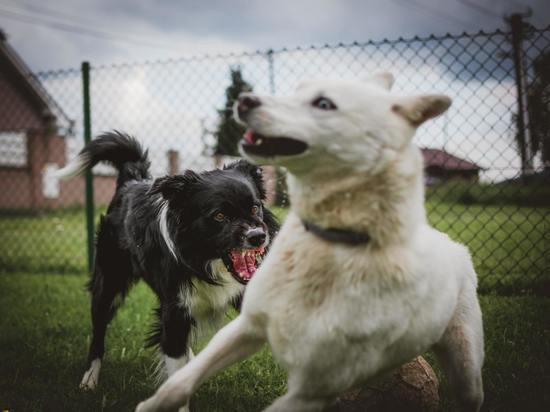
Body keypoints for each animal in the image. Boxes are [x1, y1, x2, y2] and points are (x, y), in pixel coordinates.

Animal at [58, 131, 278, 400]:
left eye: (255, 207)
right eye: (219, 216)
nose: (258, 236)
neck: (205, 261)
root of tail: (131, 181)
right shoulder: (174, 312)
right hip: (108, 284)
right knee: (98, 335)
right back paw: (89, 380)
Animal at [138, 75, 488, 412]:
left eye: (255, 209)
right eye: (219, 215)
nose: (258, 236)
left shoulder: (317, 385)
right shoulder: (233, 323)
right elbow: (180, 378)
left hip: (465, 360)